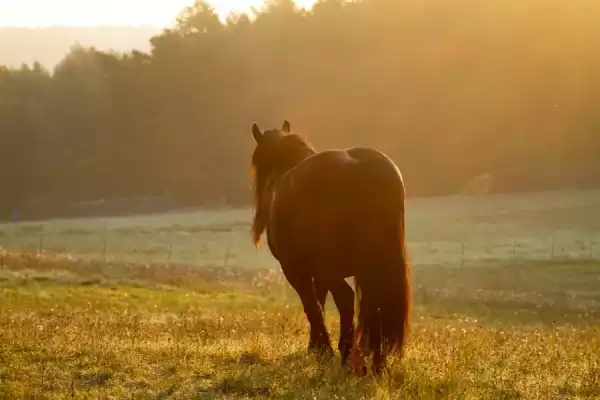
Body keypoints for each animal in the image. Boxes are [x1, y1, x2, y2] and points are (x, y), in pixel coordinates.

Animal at [250, 119, 412, 376]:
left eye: (257, 163)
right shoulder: (318, 273)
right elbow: (320, 299)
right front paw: (315, 347)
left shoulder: (296, 269)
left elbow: (312, 304)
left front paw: (321, 349)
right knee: (374, 306)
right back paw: (377, 363)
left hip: (333, 267)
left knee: (347, 299)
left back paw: (348, 355)